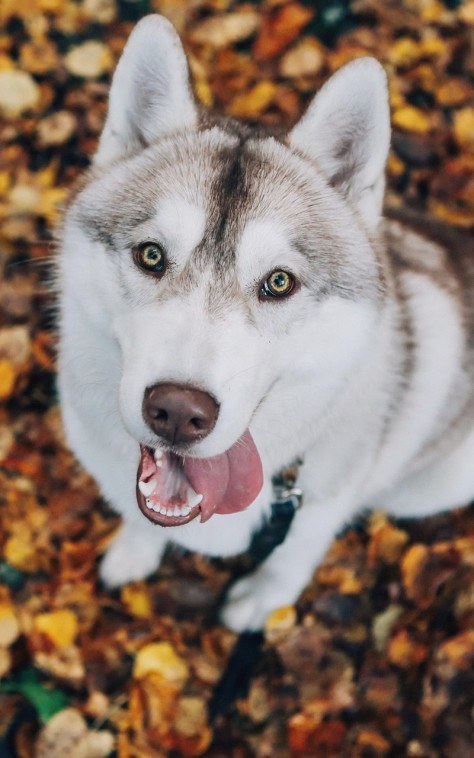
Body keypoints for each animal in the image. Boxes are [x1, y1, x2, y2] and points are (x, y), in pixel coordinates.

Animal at [58, 14, 474, 632]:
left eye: (279, 282)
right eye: (151, 255)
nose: (178, 412)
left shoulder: (322, 503)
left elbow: (293, 555)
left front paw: (261, 600)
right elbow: (140, 517)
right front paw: (134, 551)